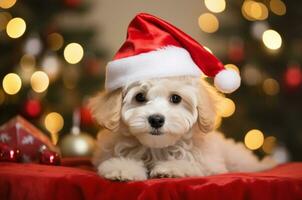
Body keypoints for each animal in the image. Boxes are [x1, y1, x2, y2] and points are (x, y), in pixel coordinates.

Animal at [89, 76, 274, 181]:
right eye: (140, 97)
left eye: (176, 98)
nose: (156, 119)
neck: (157, 147)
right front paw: (122, 168)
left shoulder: (209, 163)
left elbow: (191, 164)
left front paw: (171, 168)